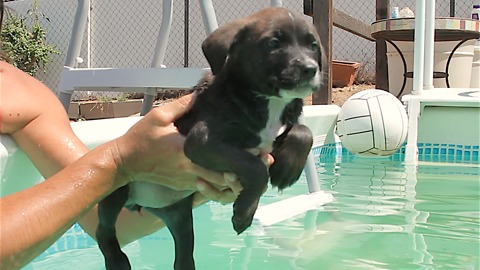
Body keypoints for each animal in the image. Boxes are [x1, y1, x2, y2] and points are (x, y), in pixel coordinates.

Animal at [95, 6, 324, 270]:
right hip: (116, 191)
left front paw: (287, 170)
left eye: (313, 45)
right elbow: (256, 169)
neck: (268, 102)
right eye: (273, 43)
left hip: (182, 220)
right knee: (103, 230)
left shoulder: (269, 141)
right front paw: (244, 213)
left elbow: (303, 132)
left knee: (183, 256)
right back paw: (116, 260)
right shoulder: (202, 141)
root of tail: (147, 205)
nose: (310, 69)